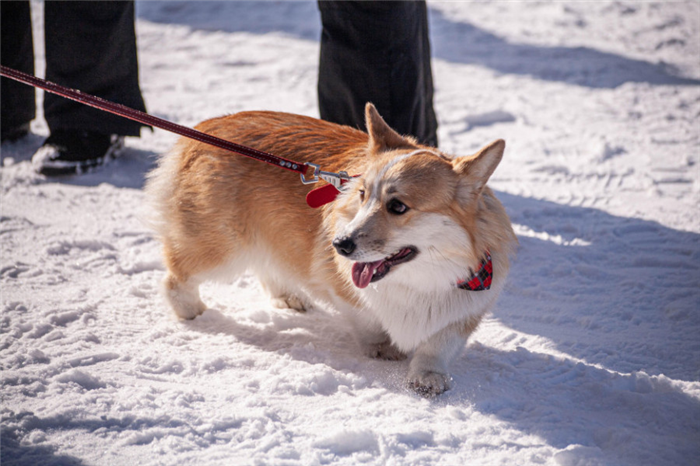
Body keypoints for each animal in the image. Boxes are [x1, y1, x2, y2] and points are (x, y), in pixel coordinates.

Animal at [145, 104, 516, 396]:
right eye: (362, 194)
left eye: (398, 206)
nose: (339, 245)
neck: (419, 279)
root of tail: (204, 129)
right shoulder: (344, 289)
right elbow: (368, 321)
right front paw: (382, 348)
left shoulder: (467, 307)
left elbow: (439, 344)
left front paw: (428, 377)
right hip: (222, 248)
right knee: (176, 275)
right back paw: (191, 312)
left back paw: (287, 296)